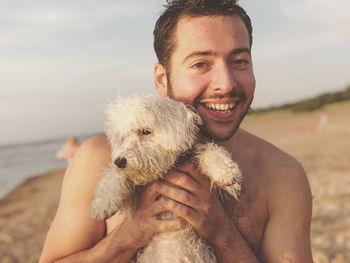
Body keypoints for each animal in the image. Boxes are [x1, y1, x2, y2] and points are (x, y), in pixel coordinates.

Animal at [91, 95, 242, 263]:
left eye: (145, 131)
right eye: (122, 138)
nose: (119, 161)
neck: (166, 170)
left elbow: (209, 151)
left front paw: (225, 171)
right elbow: (115, 176)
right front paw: (102, 204)